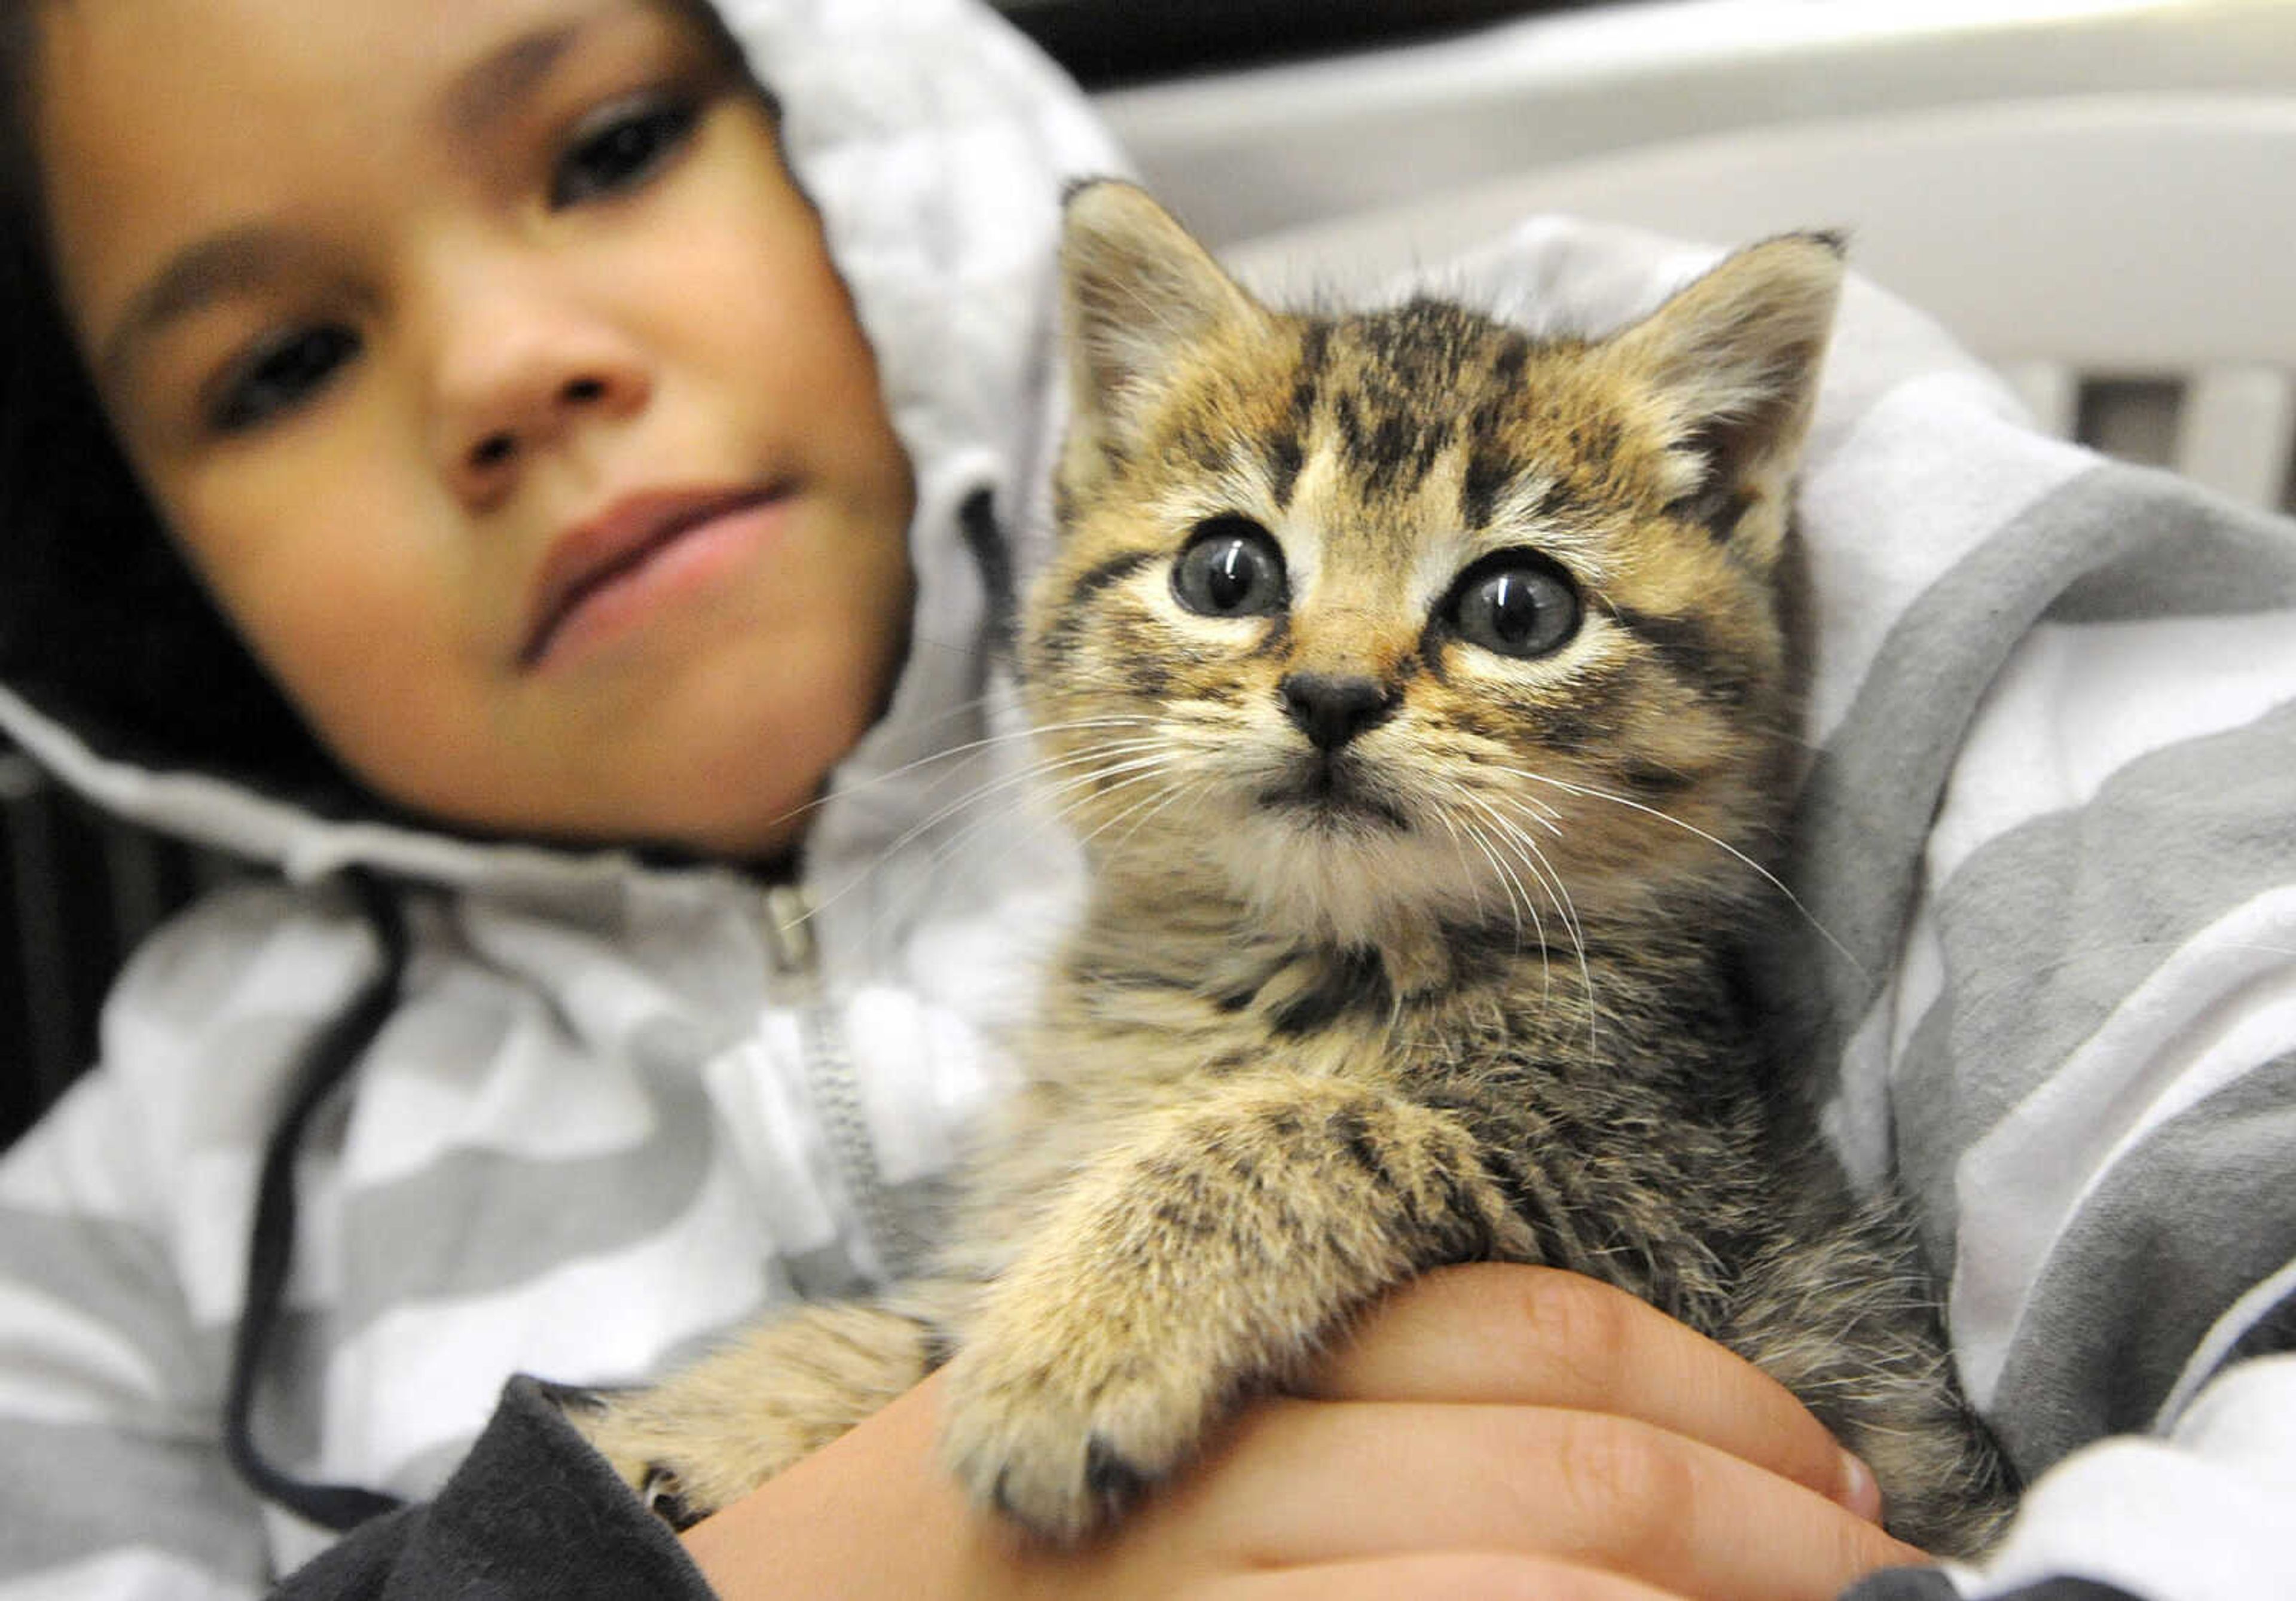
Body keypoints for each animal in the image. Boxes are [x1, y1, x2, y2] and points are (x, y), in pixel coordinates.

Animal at [583, 181, 2020, 1553]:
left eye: (1521, 609)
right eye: (1228, 572)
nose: (1333, 694)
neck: (1293, 965)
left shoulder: (1664, 1224)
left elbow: (1312, 1123)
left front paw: (1074, 1348)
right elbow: (927, 1315)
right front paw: (703, 1417)